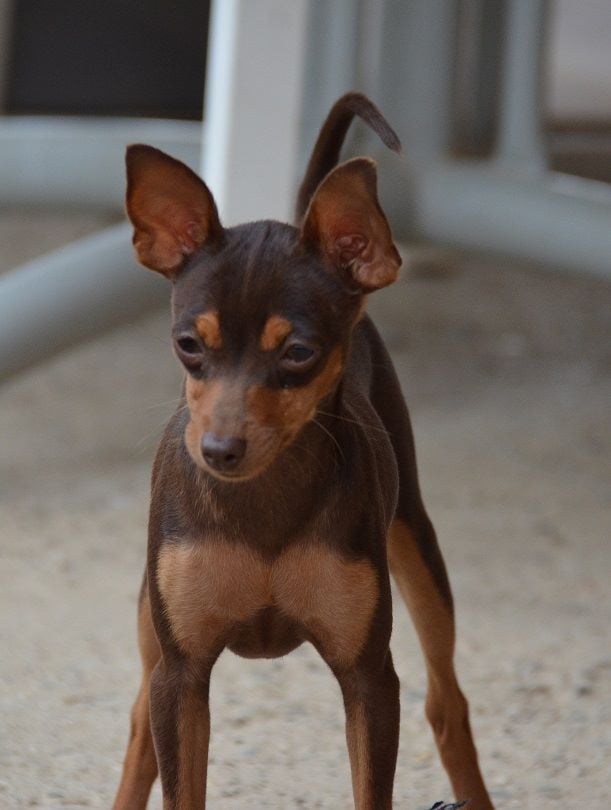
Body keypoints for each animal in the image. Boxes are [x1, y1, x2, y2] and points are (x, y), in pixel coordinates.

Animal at [113, 93, 498, 808]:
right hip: (151, 625)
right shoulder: (182, 674)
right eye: (188, 344)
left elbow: (372, 786)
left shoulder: (369, 678)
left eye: (298, 353)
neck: (265, 499)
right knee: (138, 728)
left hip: (418, 548)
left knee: (447, 704)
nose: (220, 449)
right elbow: (178, 776)